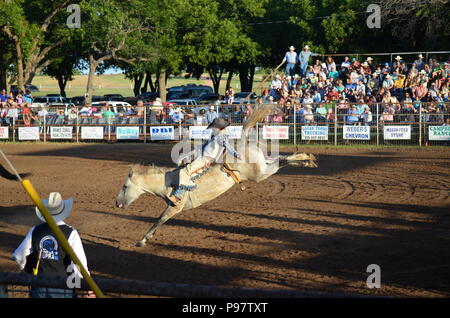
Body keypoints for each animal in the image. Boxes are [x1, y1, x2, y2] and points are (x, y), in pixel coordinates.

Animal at [115, 143, 316, 247]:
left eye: (124, 186)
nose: (116, 203)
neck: (168, 181)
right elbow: (158, 221)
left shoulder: (175, 207)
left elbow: (158, 221)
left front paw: (141, 240)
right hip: (263, 167)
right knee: (281, 159)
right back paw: (306, 159)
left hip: (261, 174)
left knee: (281, 161)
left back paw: (306, 159)